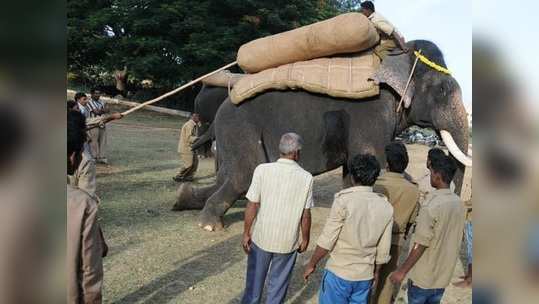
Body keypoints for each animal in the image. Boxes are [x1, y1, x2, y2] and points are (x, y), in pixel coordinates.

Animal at [174, 39, 472, 230]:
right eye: (443, 90)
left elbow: (354, 168)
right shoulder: (371, 111)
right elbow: (375, 161)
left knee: (230, 177)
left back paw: (183, 198)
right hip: (239, 127)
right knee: (242, 176)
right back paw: (209, 225)